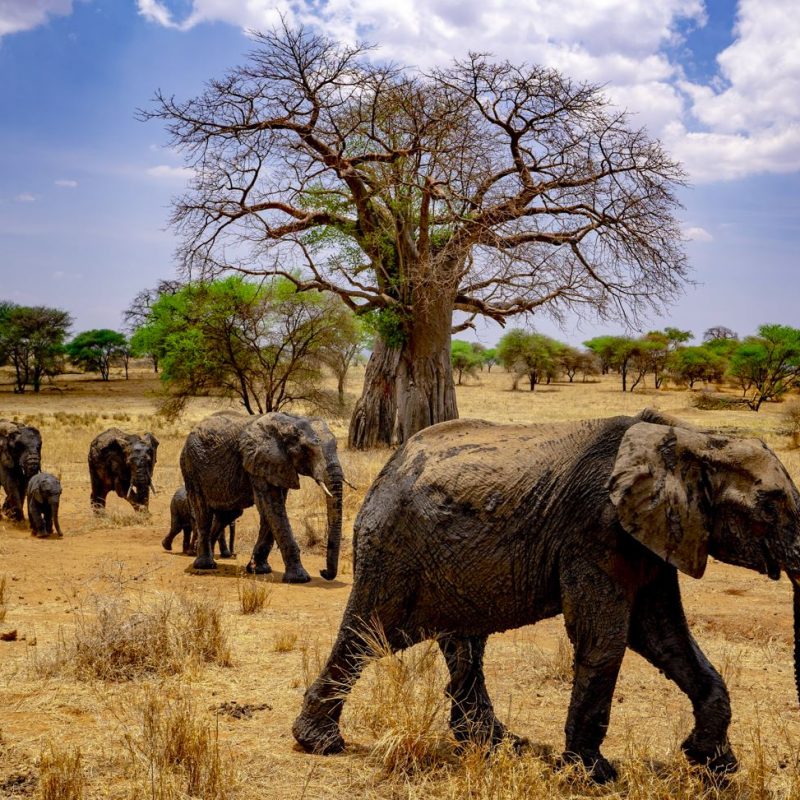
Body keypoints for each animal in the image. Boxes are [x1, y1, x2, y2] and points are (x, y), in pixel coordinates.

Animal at [181, 412, 344, 580]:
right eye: (307, 450)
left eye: (336, 446)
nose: (323, 572)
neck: (289, 422)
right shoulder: (259, 461)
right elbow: (272, 507)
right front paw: (299, 578)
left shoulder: (277, 465)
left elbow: (272, 511)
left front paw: (258, 569)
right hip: (191, 466)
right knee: (203, 513)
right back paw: (205, 565)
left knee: (226, 514)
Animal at [292, 410, 800, 784]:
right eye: (770, 506)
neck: (691, 439)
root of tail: (389, 467)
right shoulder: (595, 528)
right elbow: (606, 638)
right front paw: (593, 775)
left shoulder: (657, 535)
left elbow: (664, 637)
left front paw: (714, 766)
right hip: (392, 547)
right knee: (367, 633)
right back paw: (320, 743)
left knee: (463, 643)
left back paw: (494, 744)